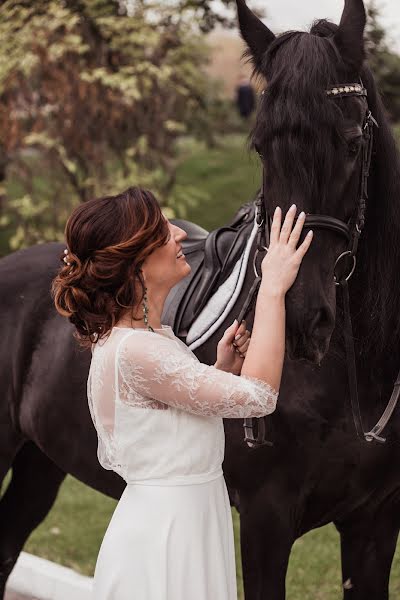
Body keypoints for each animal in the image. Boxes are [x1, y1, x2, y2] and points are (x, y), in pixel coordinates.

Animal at [0, 0, 400, 596]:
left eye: (353, 144)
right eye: (261, 147)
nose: (301, 320)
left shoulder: (375, 523)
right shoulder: (266, 518)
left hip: (39, 462)